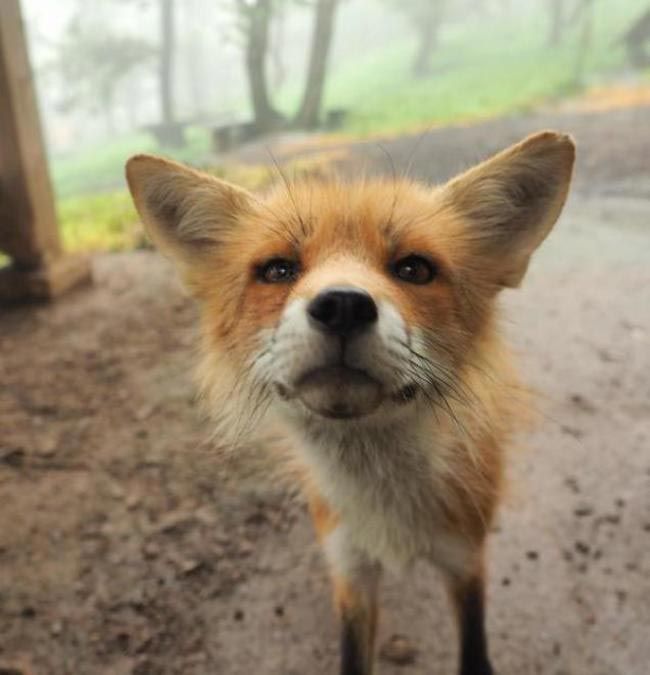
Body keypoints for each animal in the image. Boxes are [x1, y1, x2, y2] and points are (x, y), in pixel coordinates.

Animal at [125, 131, 572, 675]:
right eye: (278, 269)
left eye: (413, 268)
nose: (342, 305)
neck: (385, 508)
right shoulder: (350, 569)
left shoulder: (466, 560)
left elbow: (475, 652)